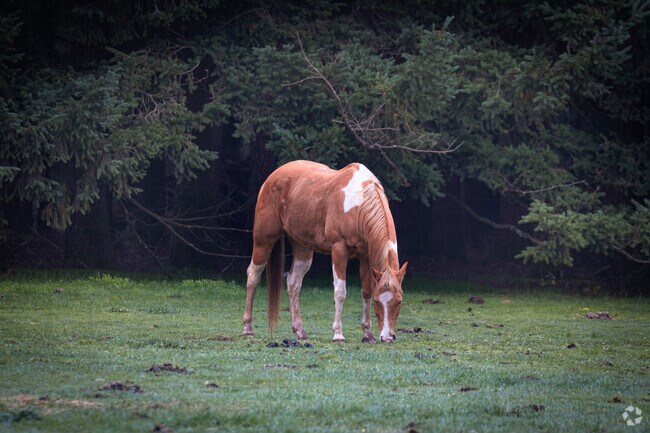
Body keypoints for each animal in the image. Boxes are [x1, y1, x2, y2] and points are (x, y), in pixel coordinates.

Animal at [242, 160, 407, 343]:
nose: (388, 337)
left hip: (302, 248)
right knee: (253, 276)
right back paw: (247, 328)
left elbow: (366, 291)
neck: (359, 202)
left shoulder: (365, 256)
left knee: (293, 283)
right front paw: (338, 334)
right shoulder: (339, 250)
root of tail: (273, 176)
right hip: (264, 241)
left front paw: (367, 334)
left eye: (399, 301)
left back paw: (300, 331)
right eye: (378, 302)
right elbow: (340, 291)